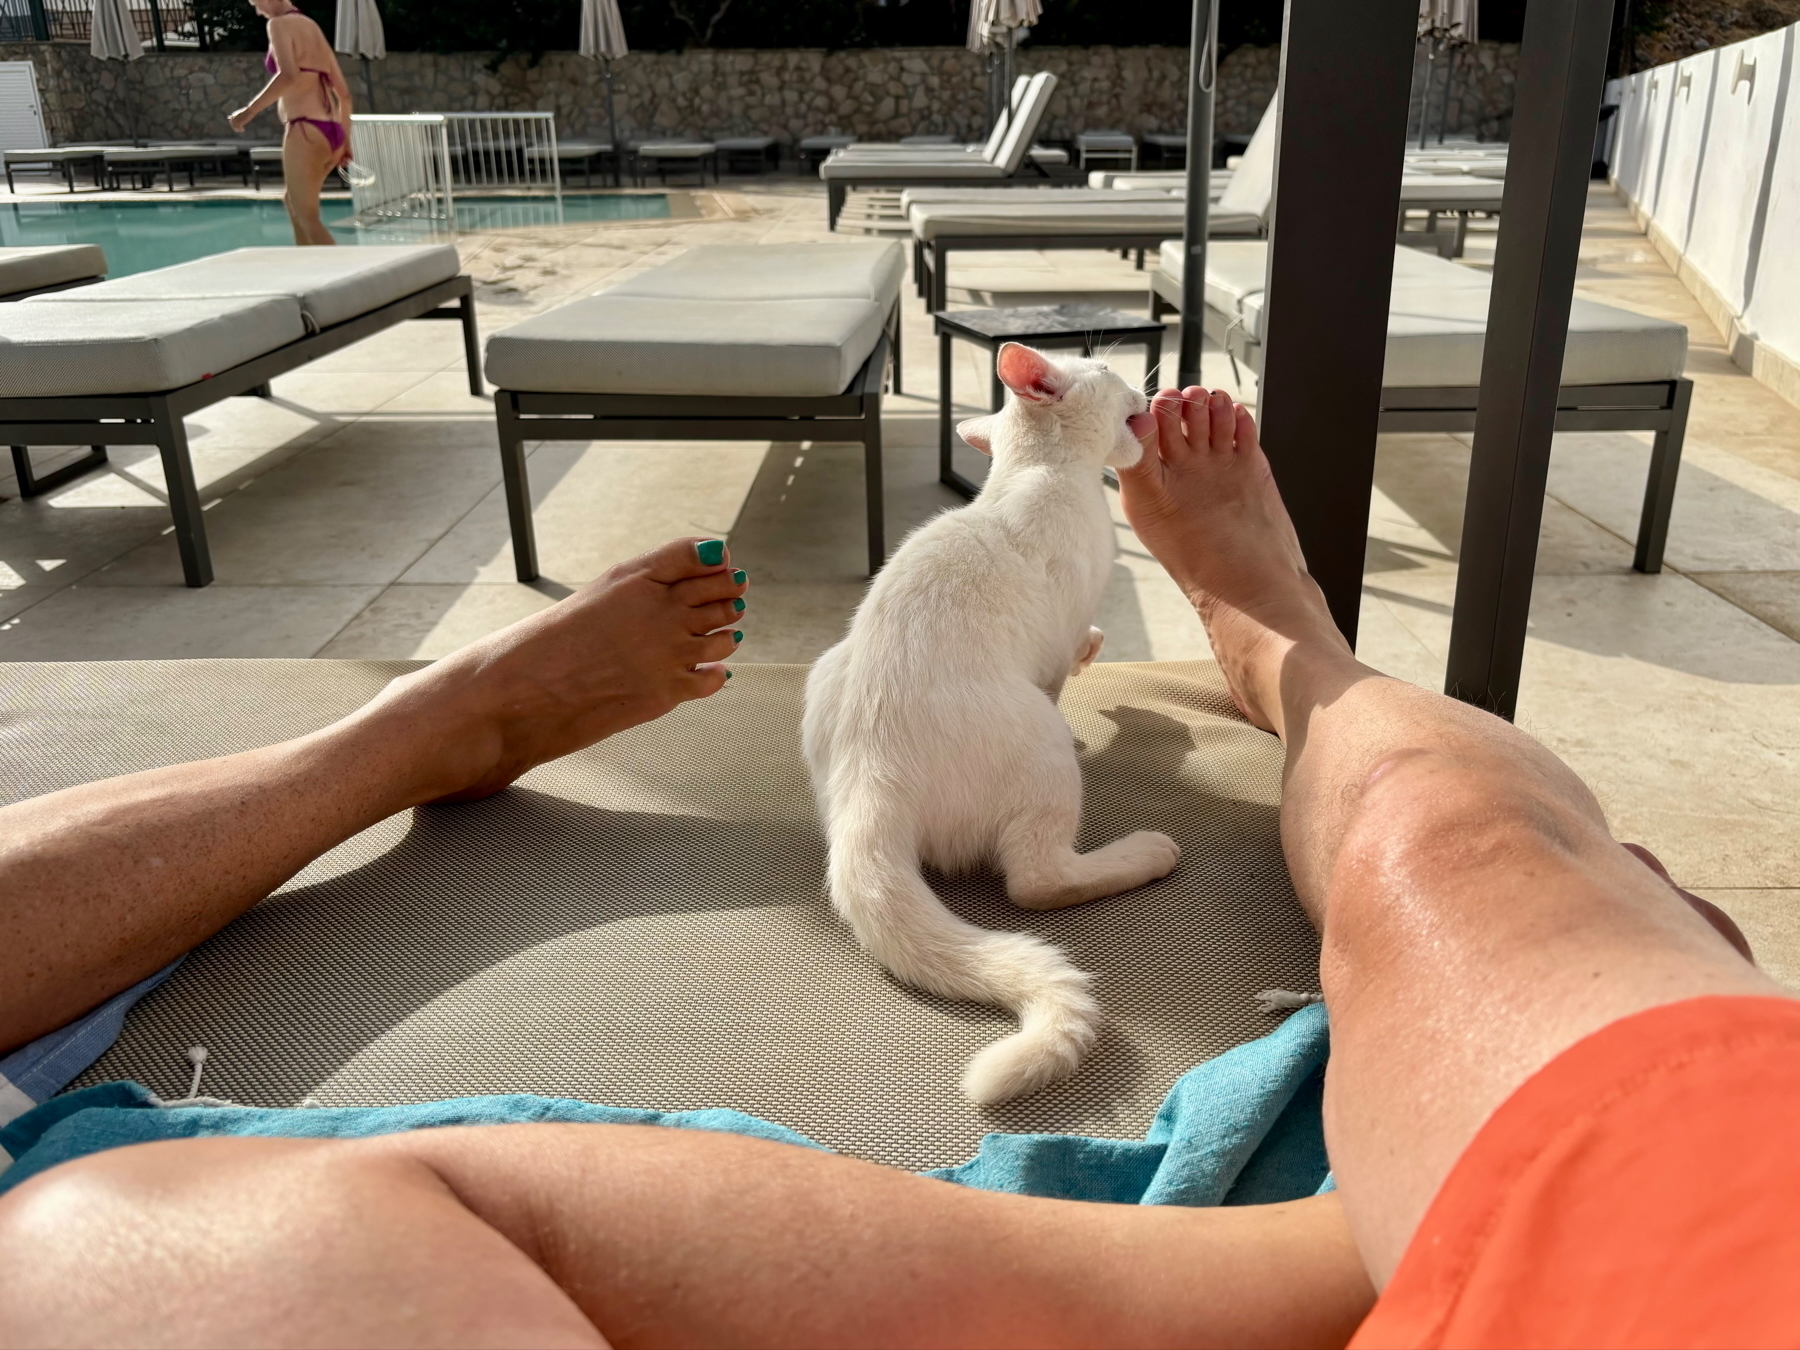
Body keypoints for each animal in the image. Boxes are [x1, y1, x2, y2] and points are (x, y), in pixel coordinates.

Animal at [802, 343, 1180, 1101]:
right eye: (1103, 367)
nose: (1143, 387)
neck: (1036, 474)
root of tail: (868, 780)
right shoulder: (1057, 640)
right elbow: (1070, 659)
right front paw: (1093, 656)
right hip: (1040, 750)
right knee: (1036, 880)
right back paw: (1146, 852)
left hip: (823, 674)